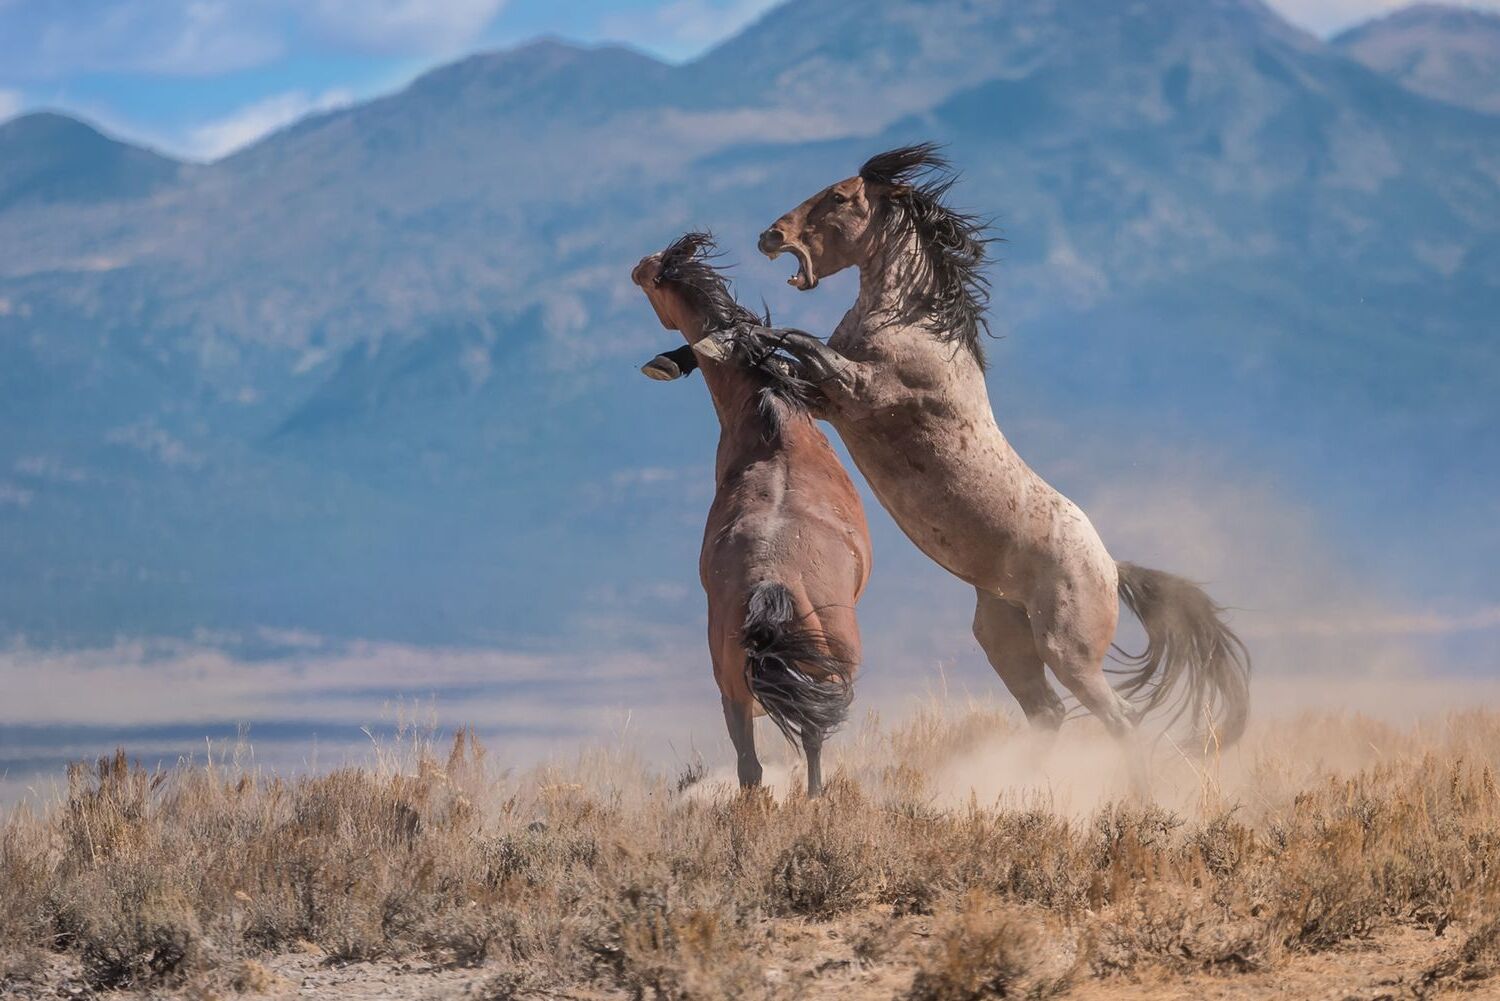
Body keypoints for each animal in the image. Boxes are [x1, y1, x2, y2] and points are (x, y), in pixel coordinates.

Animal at [631, 233, 873, 796]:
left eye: (654, 276)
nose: (636, 268)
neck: (773, 423)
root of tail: (771, 589)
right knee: (803, 747)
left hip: (736, 690)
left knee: (754, 767)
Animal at [696, 144, 1250, 763]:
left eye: (839, 197)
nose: (770, 235)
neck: (916, 325)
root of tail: (1110, 567)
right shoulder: (828, 402)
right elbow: (791, 360)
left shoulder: (859, 390)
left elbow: (796, 339)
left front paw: (727, 336)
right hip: (1005, 639)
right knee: (1050, 712)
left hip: (1069, 649)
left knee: (1118, 718)